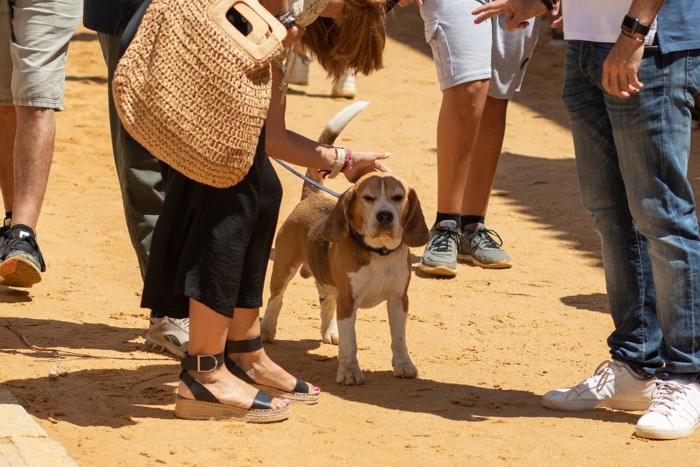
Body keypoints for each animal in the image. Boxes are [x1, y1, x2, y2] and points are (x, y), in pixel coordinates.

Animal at [262, 104, 430, 386]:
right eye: (368, 198)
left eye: (398, 197)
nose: (385, 216)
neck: (379, 253)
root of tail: (312, 196)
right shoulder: (349, 301)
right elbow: (351, 343)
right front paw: (350, 371)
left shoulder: (399, 299)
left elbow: (399, 338)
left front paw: (404, 365)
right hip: (284, 266)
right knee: (276, 299)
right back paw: (266, 330)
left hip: (329, 284)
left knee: (326, 302)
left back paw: (329, 331)